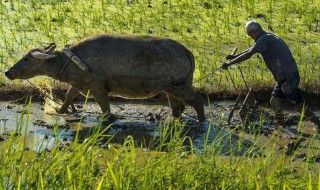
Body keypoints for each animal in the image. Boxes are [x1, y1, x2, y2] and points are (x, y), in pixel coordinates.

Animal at [5, 34, 205, 121]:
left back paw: (202, 121)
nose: (7, 71)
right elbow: (68, 96)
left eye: (26, 58)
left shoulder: (97, 87)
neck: (71, 61)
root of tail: (187, 51)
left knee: (197, 100)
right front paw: (61, 111)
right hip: (171, 89)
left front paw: (107, 118)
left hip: (180, 87)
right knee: (178, 107)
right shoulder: (79, 84)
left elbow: (105, 107)